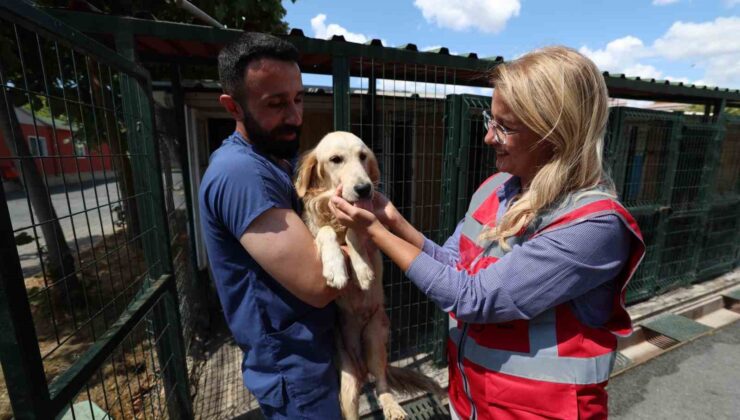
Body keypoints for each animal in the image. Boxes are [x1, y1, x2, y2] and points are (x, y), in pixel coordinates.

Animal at [294, 131, 442, 420]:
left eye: (363, 156)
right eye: (336, 159)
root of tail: (361, 365)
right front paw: (336, 270)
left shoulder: (369, 232)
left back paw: (393, 407)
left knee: (382, 383)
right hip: (348, 381)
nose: (364, 189)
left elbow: (356, 231)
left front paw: (362, 271)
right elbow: (325, 232)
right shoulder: (313, 232)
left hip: (375, 339)